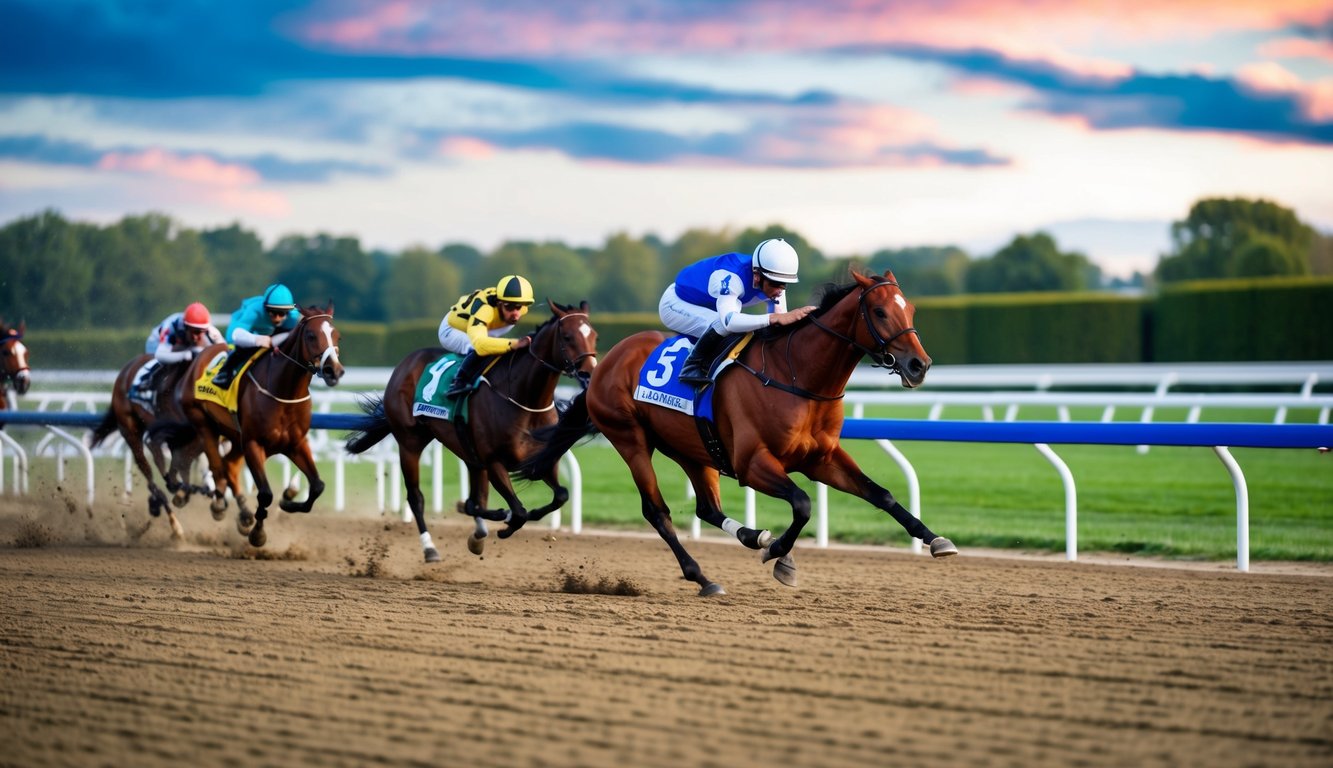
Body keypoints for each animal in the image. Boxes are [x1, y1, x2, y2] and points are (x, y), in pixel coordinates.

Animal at [149, 302, 346, 549]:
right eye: (311, 335)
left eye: (337, 335)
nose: (333, 370)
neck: (283, 393)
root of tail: (197, 358)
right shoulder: (253, 444)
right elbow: (265, 494)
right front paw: (258, 534)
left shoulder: (296, 444)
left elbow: (318, 485)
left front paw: (288, 500)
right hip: (204, 425)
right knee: (217, 466)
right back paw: (219, 505)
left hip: (234, 436)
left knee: (229, 465)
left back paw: (242, 514)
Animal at [343, 301, 599, 565]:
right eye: (567, 337)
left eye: (595, 337)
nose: (589, 373)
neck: (524, 398)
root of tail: (405, 364)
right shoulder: (494, 461)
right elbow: (518, 511)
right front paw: (507, 524)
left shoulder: (542, 460)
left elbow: (561, 495)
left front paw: (521, 516)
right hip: (410, 441)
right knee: (416, 497)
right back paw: (430, 548)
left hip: (468, 452)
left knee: (473, 500)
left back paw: (478, 529)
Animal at [514, 273, 954, 597]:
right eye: (879, 311)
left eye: (910, 309)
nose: (920, 365)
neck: (797, 376)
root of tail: (605, 363)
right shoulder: (752, 463)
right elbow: (802, 502)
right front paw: (779, 556)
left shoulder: (822, 458)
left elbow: (882, 494)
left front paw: (935, 539)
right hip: (630, 438)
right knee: (657, 511)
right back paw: (704, 576)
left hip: (694, 448)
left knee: (706, 508)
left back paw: (750, 536)